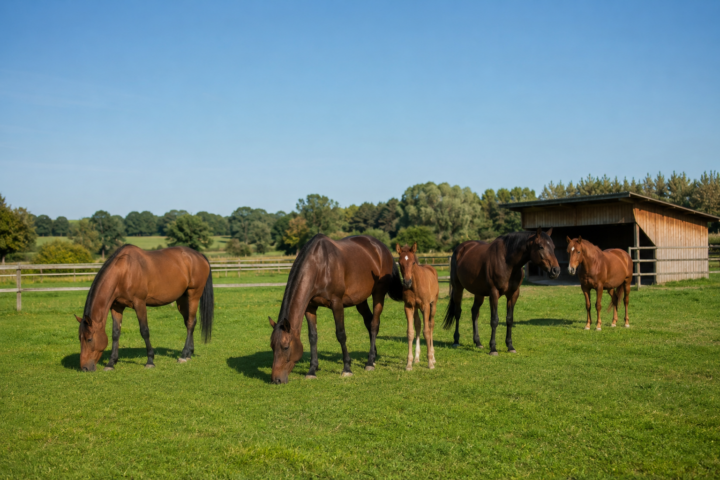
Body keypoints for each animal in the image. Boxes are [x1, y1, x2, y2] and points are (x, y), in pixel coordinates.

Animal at [75, 244, 214, 372]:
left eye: (89, 339)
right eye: (79, 338)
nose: (85, 368)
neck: (124, 272)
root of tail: (200, 256)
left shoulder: (139, 303)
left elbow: (144, 331)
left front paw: (150, 361)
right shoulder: (116, 307)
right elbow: (115, 333)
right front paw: (111, 363)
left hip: (193, 295)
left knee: (190, 323)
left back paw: (184, 355)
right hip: (182, 300)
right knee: (190, 322)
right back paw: (189, 353)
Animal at [269, 234, 403, 384]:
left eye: (286, 347)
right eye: (272, 346)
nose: (276, 380)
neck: (320, 265)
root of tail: (382, 248)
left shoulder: (337, 303)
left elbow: (341, 334)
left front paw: (347, 368)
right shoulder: (310, 307)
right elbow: (312, 336)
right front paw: (312, 369)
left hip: (378, 294)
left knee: (374, 324)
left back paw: (369, 363)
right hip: (360, 300)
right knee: (369, 322)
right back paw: (373, 357)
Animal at [396, 243, 439, 371]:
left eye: (413, 263)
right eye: (399, 262)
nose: (406, 282)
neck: (415, 285)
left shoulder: (426, 306)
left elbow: (427, 331)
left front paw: (430, 362)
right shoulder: (408, 307)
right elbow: (410, 332)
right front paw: (409, 363)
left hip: (433, 305)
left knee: (431, 325)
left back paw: (433, 357)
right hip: (416, 308)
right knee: (418, 324)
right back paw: (416, 358)